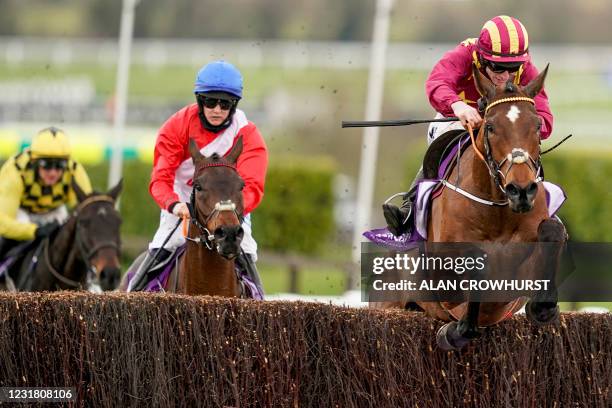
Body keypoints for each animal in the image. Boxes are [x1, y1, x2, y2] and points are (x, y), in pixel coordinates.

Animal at [376, 65, 568, 352]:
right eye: (490, 126)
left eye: (536, 125)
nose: (521, 190)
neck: (498, 211)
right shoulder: (445, 274)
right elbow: (474, 268)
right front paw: (455, 331)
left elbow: (552, 232)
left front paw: (544, 308)